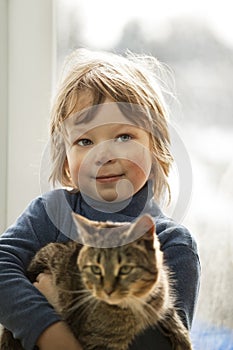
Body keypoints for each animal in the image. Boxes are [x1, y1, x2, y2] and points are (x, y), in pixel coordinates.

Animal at [0, 213, 192, 350]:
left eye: (125, 269)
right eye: (95, 269)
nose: (107, 290)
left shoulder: (162, 300)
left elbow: (173, 317)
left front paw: (183, 340)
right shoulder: (98, 341)